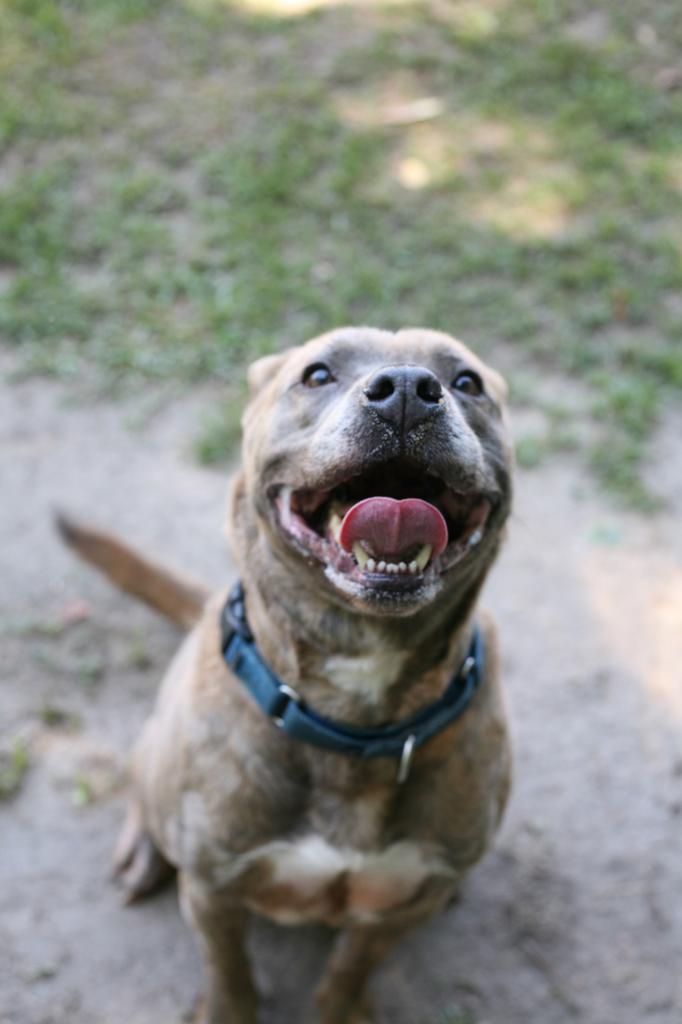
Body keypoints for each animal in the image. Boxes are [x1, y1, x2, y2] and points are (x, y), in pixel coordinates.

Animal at [61, 327, 512, 1024]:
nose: (408, 390)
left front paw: (343, 1006)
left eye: (468, 382)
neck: (352, 718)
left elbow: (351, 969)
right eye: (318, 373)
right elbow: (230, 975)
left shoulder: (394, 911)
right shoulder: (213, 891)